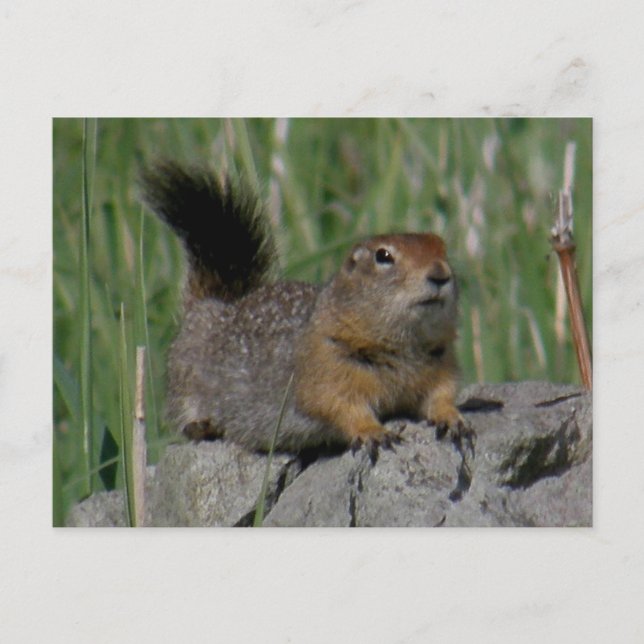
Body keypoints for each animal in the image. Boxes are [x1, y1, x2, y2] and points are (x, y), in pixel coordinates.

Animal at [140, 161, 465, 456]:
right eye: (383, 256)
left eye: (442, 247)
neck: (404, 346)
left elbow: (442, 394)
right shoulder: (326, 368)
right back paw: (202, 425)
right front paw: (373, 432)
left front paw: (452, 418)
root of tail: (214, 303)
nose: (440, 274)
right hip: (184, 380)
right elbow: (339, 406)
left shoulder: (442, 365)